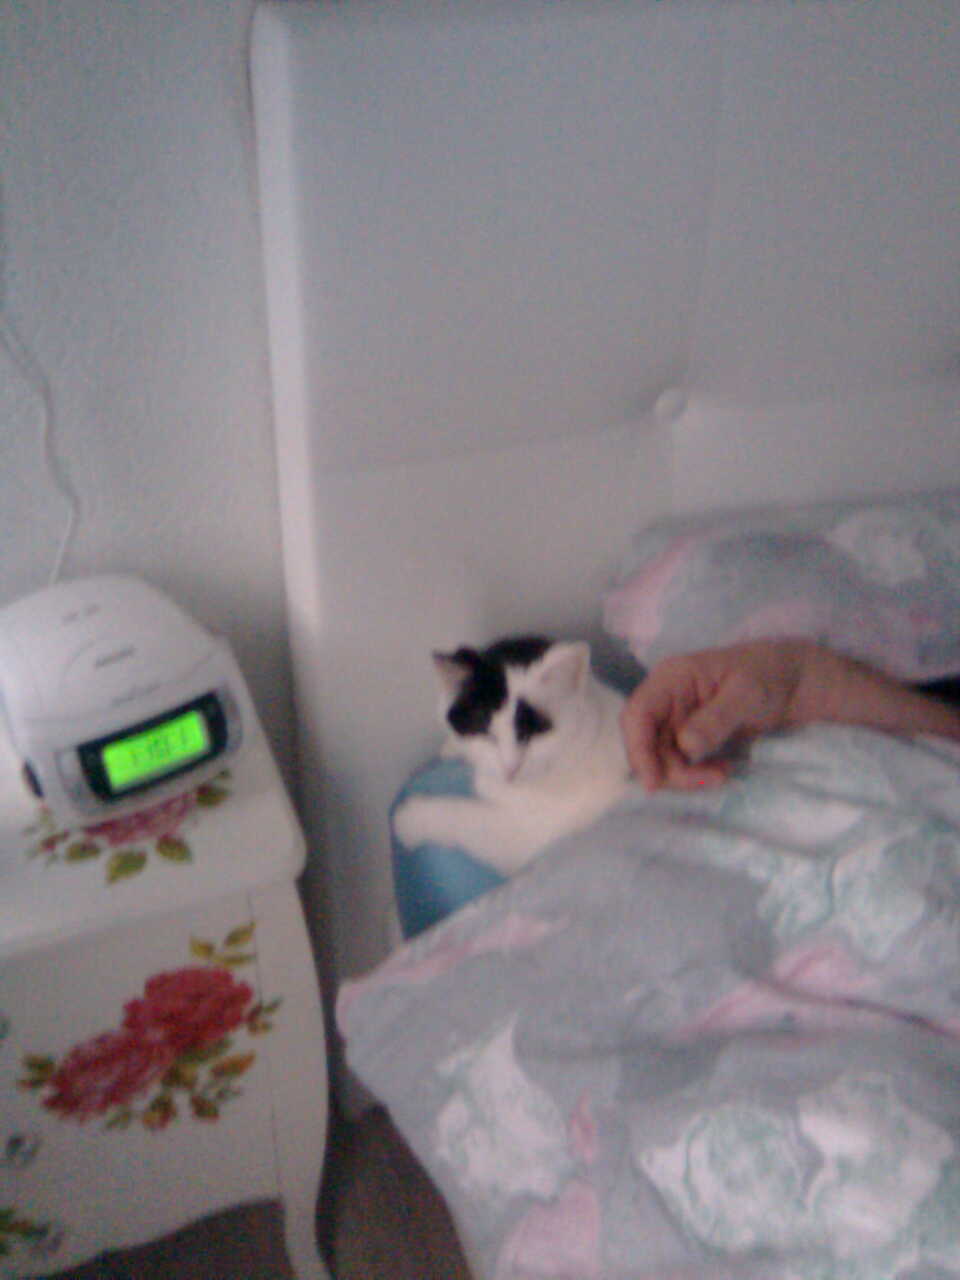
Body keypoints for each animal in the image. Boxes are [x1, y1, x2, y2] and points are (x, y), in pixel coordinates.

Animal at [392, 636, 631, 875]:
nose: (510, 769)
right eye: (487, 734)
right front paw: (452, 746)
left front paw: (411, 818)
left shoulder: (525, 834)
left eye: (529, 735)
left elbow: (464, 817)